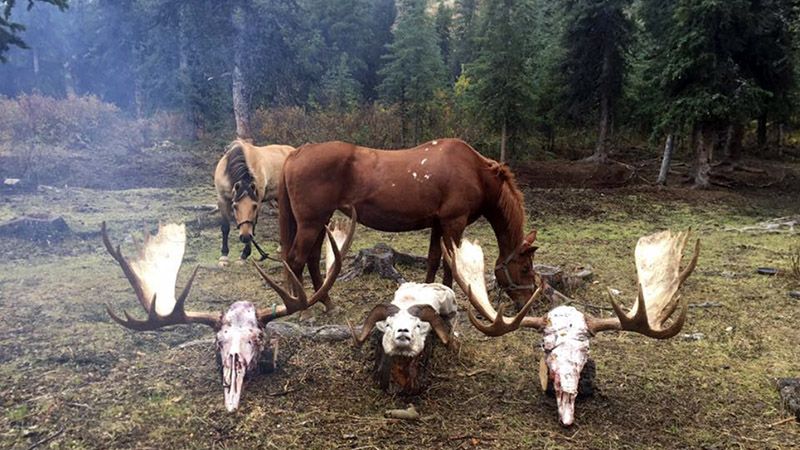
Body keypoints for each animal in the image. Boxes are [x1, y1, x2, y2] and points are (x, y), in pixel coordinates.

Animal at [280, 139, 536, 312]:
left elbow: (434, 260)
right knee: (296, 260)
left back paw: (327, 302)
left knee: (312, 259)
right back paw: (303, 309)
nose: (527, 303)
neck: (474, 171)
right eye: (525, 268)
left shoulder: (438, 225)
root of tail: (296, 153)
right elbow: (450, 266)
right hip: (311, 223)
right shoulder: (454, 223)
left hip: (320, 222)